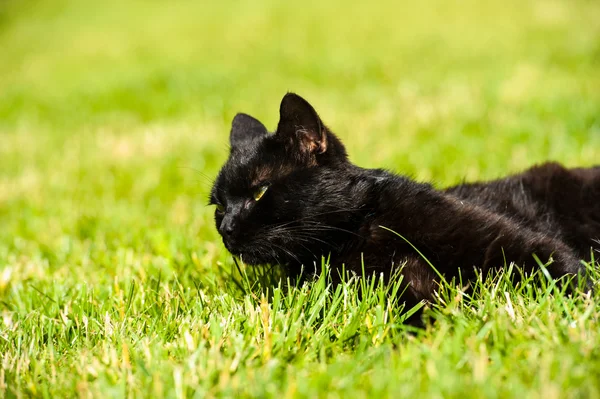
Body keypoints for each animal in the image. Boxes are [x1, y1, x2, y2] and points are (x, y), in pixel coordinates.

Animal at [209, 92, 596, 308]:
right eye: (219, 206)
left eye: (260, 191)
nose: (226, 228)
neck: (355, 232)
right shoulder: (393, 284)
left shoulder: (515, 243)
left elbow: (567, 273)